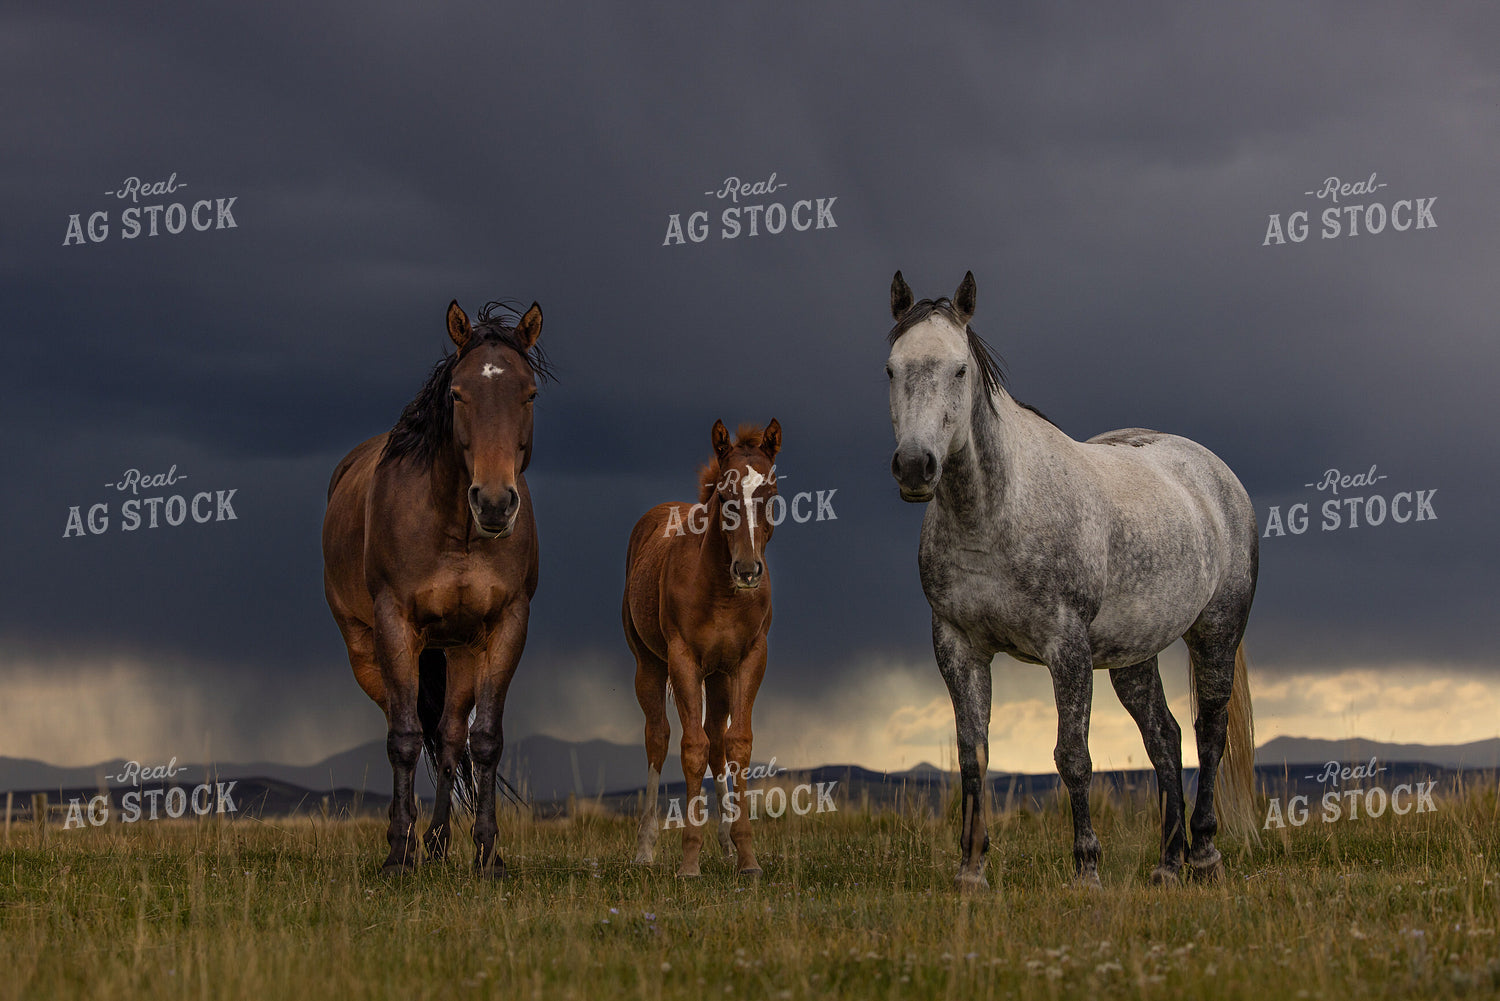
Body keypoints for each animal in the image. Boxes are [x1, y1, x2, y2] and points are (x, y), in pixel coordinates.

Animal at [322, 298, 548, 874]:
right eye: (457, 392)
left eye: (529, 393)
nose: (494, 503)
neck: (456, 530)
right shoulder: (395, 626)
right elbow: (403, 738)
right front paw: (398, 855)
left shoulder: (505, 626)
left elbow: (483, 740)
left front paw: (487, 853)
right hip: (368, 649)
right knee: (399, 723)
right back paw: (403, 837)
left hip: (460, 650)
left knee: (447, 737)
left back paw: (441, 842)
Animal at [624, 419, 781, 877]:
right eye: (725, 497)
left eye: (770, 494)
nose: (747, 570)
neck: (721, 591)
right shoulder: (684, 660)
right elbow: (691, 748)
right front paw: (689, 862)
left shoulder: (749, 659)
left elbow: (737, 744)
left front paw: (747, 858)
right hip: (650, 665)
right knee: (659, 738)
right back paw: (645, 849)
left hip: (719, 676)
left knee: (716, 738)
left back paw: (726, 844)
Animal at [884, 271, 1258, 890]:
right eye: (891, 368)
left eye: (959, 369)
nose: (915, 467)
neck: (994, 513)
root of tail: (1218, 475)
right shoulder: (957, 646)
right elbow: (972, 756)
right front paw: (971, 871)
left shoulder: (1067, 648)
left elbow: (1073, 756)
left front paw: (1086, 869)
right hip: (1133, 658)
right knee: (1165, 737)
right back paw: (1167, 864)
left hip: (1216, 631)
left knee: (1209, 731)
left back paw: (1204, 854)